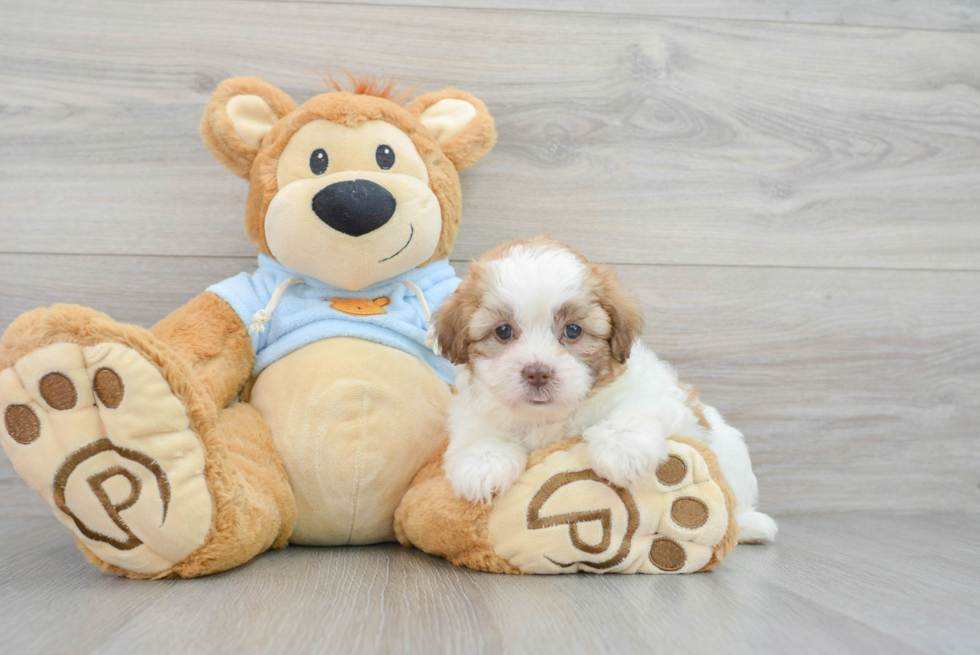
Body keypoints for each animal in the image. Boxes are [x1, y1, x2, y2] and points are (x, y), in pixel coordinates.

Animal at [436, 236, 780, 544]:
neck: (550, 419)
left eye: (573, 330)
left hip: (732, 452)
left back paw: (752, 526)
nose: (537, 371)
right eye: (504, 331)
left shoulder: (664, 398)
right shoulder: (473, 411)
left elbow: (637, 407)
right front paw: (484, 463)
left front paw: (621, 449)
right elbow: (478, 435)